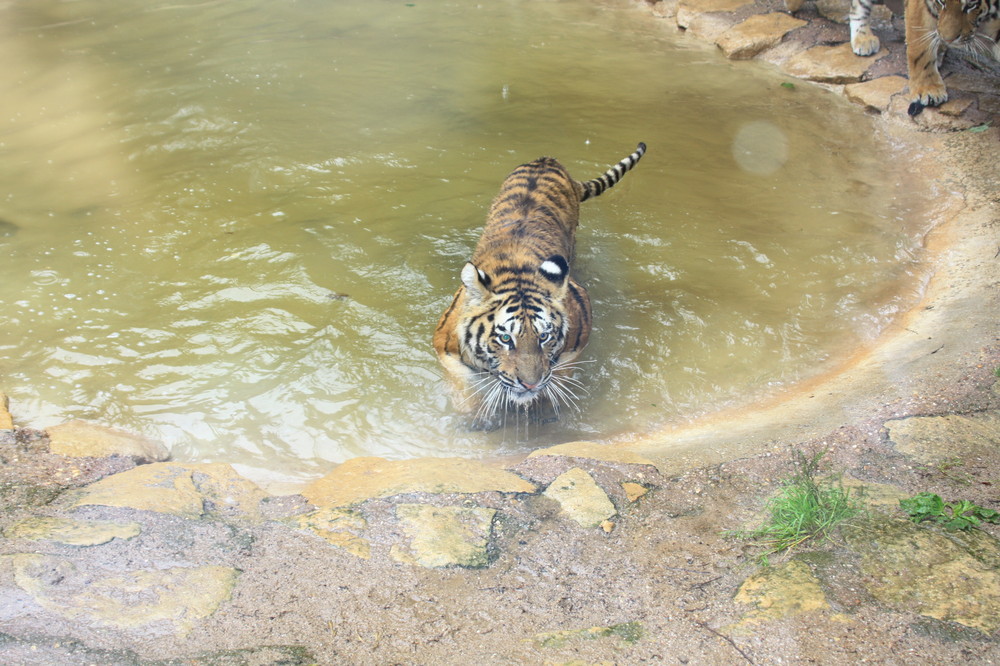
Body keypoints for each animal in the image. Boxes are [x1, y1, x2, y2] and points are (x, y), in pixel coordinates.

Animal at [434, 143, 644, 428]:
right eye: (505, 338)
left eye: (544, 336)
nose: (530, 384)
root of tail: (548, 159)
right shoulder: (448, 354)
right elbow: (467, 390)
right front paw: (474, 419)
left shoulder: (573, 347)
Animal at [840, 0, 996, 114]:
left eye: (971, 5)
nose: (949, 39)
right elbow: (920, 48)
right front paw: (928, 91)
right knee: (857, 7)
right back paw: (863, 38)